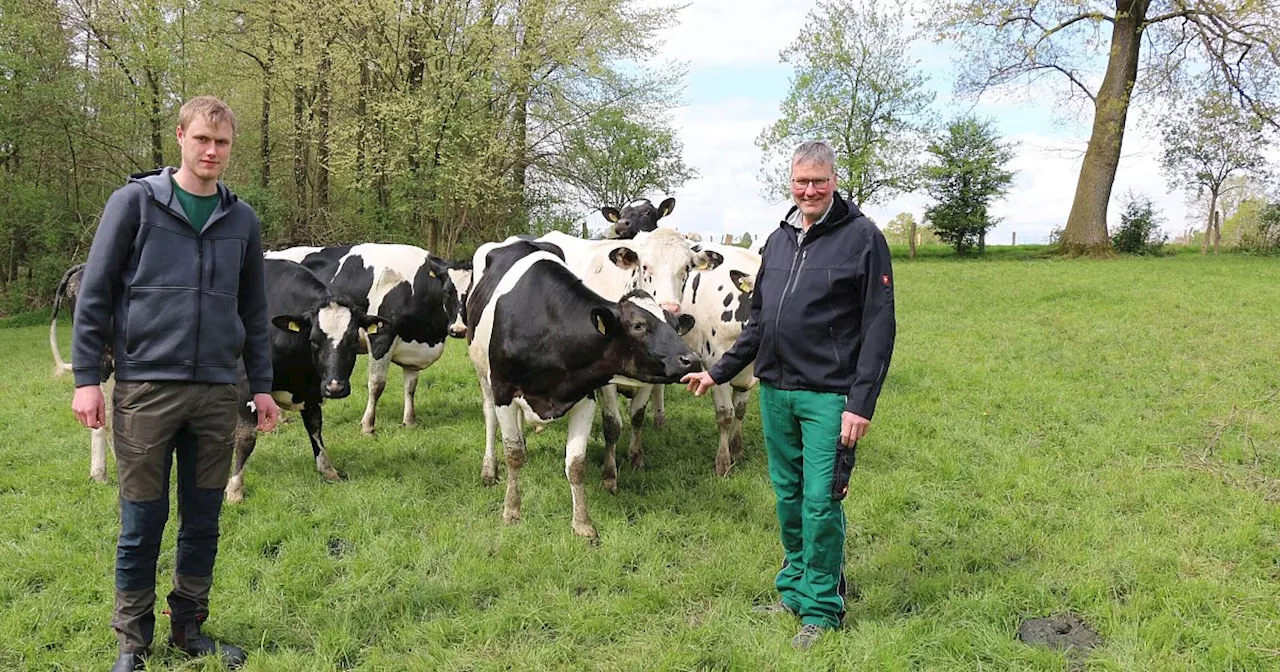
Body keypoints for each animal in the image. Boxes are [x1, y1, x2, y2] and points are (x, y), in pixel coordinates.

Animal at [225, 259, 394, 499]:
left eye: (353, 340)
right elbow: (246, 439)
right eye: (313, 340)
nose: (335, 387)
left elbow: (315, 428)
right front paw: (235, 489)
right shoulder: (247, 388)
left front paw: (328, 470)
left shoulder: (313, 392)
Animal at [268, 243, 465, 432]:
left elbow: (410, 386)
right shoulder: (381, 337)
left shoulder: (413, 350)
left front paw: (409, 421)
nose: (459, 329)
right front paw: (368, 425)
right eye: (446, 291)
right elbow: (377, 384)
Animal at [465, 238, 701, 537]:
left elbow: (576, 464)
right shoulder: (504, 391)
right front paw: (511, 510)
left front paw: (583, 524)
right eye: (638, 325)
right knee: (490, 418)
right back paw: (489, 469)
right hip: (484, 375)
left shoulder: (584, 394)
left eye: (673, 325)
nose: (692, 359)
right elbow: (513, 454)